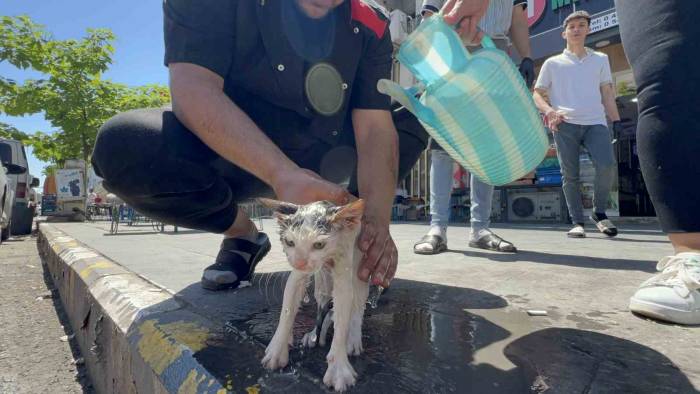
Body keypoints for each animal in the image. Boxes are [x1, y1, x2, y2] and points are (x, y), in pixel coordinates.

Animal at [258, 199, 366, 392]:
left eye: (319, 245)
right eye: (289, 242)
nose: (300, 263)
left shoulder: (344, 263)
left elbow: (342, 322)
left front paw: (338, 369)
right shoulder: (296, 275)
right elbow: (286, 312)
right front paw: (277, 351)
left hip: (359, 269)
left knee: (356, 307)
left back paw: (353, 339)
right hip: (322, 281)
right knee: (324, 308)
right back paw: (315, 334)